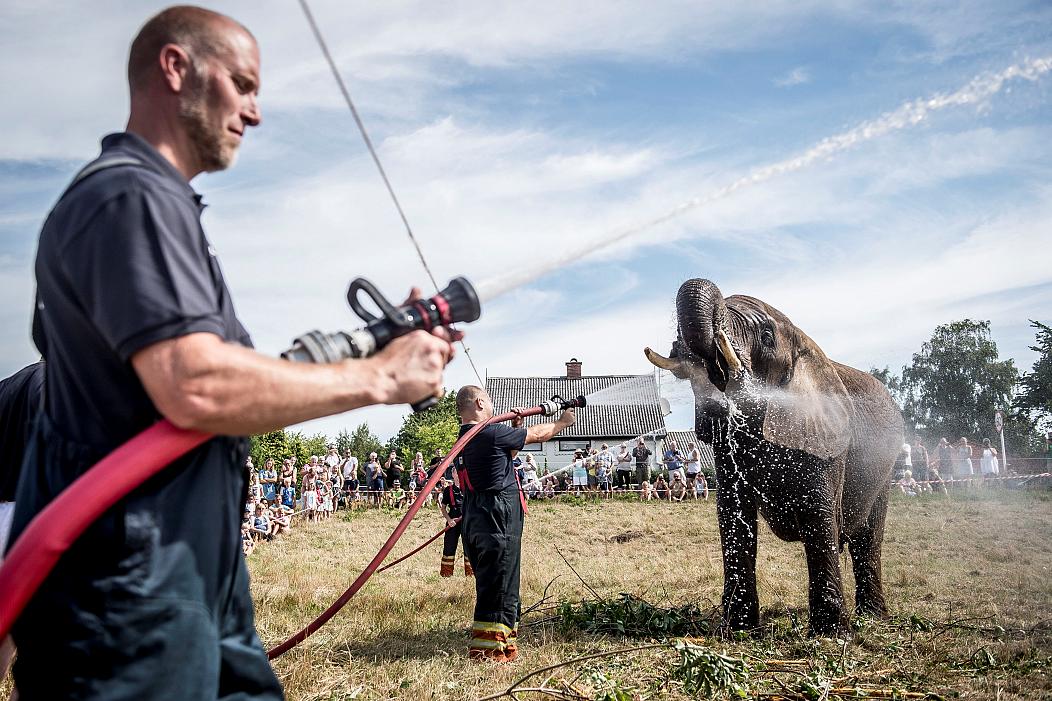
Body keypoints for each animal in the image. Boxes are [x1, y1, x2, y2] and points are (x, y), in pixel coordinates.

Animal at [643, 277, 900, 631]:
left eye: (766, 337)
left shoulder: (827, 442)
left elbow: (819, 516)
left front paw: (831, 632)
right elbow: (733, 517)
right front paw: (739, 628)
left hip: (885, 469)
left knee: (868, 540)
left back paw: (872, 617)